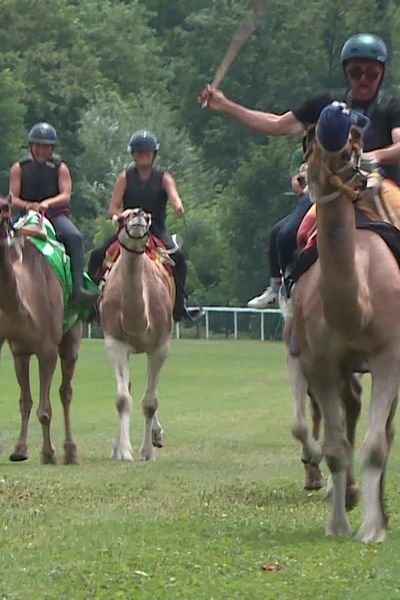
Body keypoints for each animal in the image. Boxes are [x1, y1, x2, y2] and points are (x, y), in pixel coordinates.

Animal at [0, 199, 80, 466]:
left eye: (4, 209)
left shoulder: (47, 349)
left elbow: (45, 410)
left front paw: (48, 453)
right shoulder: (18, 350)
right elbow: (25, 402)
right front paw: (19, 449)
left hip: (71, 339)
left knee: (66, 392)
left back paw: (70, 451)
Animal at [100, 209, 175, 462]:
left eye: (149, 219)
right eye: (123, 217)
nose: (139, 215)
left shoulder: (161, 346)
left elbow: (150, 402)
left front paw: (148, 452)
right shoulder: (115, 343)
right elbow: (123, 398)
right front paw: (123, 451)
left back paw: (157, 436)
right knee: (128, 388)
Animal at [290, 104, 400, 544]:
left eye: (356, 141)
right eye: (310, 139)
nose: (305, 176)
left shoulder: (389, 354)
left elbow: (375, 445)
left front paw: (371, 530)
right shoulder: (320, 362)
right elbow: (336, 448)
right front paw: (338, 523)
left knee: (384, 432)